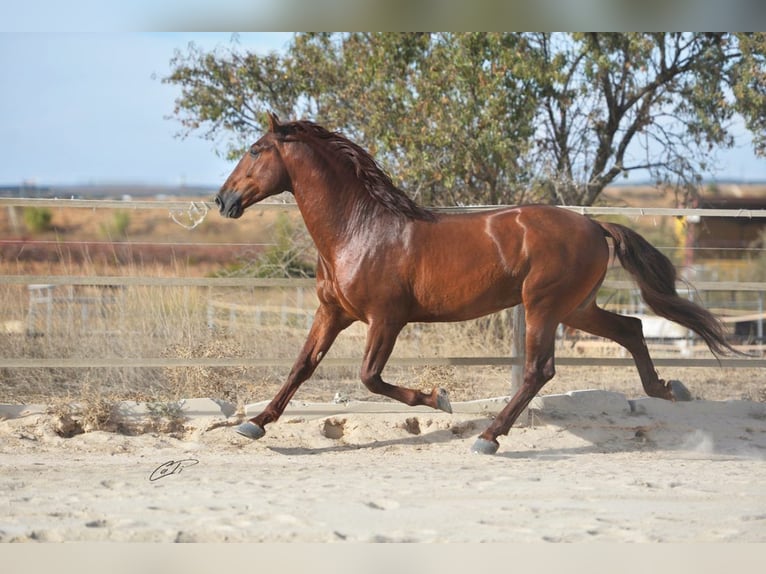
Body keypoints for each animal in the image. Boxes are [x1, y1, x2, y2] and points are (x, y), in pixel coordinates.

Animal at [215, 113, 736, 455]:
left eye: (256, 150)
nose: (223, 200)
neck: (358, 230)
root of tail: (593, 225)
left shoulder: (386, 319)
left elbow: (369, 377)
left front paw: (437, 399)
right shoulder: (333, 312)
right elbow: (301, 367)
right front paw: (255, 425)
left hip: (544, 306)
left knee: (540, 370)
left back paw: (489, 437)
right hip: (577, 308)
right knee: (632, 328)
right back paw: (667, 389)